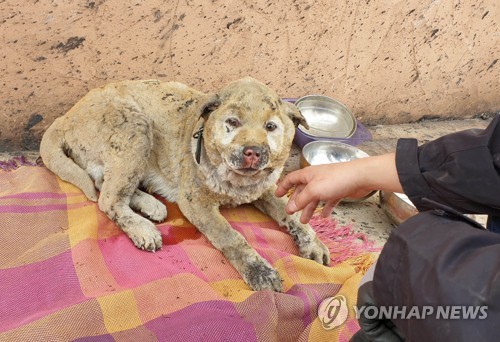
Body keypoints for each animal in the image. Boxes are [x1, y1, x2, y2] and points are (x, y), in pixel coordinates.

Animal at [41, 77, 330, 292]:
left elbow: (293, 214)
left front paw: (313, 243)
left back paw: (151, 205)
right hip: (135, 127)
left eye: (271, 127)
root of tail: (66, 116)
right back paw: (142, 228)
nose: (253, 152)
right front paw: (259, 271)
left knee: (104, 183)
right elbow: (231, 237)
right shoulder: (196, 203)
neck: (238, 182)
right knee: (108, 199)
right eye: (232, 122)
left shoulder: (266, 189)